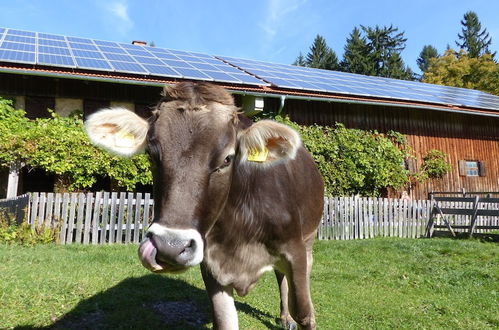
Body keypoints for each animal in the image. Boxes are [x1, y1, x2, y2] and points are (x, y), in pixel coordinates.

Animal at [87, 82, 324, 330]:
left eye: (227, 159)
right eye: (151, 154)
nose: (169, 246)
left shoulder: (294, 250)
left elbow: (305, 313)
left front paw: (296, 316)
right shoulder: (212, 265)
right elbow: (224, 320)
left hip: (309, 238)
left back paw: (287, 317)